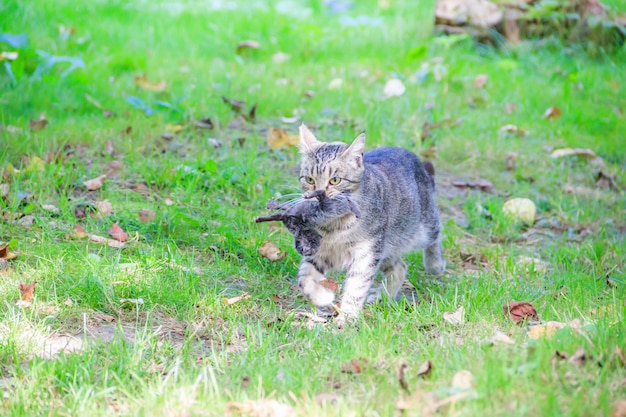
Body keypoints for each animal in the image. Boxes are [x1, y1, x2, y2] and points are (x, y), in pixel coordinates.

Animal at [294, 124, 442, 324]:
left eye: (335, 180)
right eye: (309, 180)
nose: (317, 195)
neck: (335, 226)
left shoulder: (366, 254)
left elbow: (356, 287)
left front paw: (347, 318)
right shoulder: (318, 252)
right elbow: (304, 279)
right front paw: (322, 297)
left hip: (422, 229)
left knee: (436, 233)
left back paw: (435, 265)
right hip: (386, 247)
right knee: (399, 268)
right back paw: (382, 297)